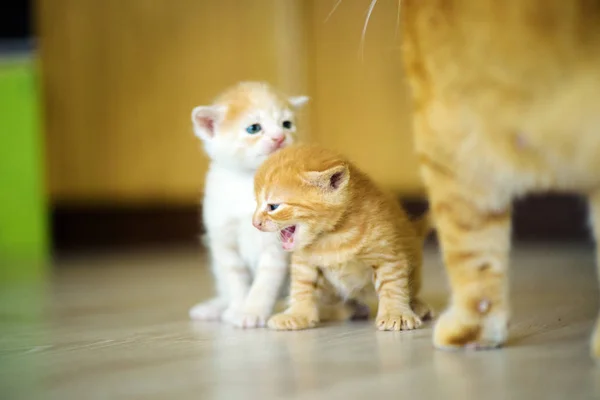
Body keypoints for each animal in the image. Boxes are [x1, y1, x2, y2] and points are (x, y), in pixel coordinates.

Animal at [188, 82, 310, 328]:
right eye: (254, 128)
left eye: (286, 124)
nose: (279, 137)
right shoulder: (224, 240)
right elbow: (235, 278)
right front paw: (237, 308)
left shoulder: (278, 243)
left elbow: (266, 279)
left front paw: (252, 311)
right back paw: (213, 308)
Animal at [252, 144, 432, 332]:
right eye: (256, 203)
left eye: (273, 207)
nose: (255, 223)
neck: (331, 237)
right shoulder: (303, 262)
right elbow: (302, 287)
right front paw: (297, 314)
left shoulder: (388, 254)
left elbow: (392, 284)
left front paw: (396, 313)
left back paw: (417, 306)